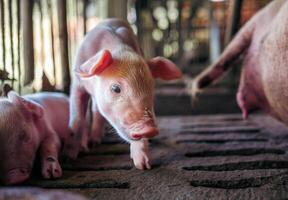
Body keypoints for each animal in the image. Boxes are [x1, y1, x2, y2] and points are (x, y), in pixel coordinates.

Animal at [66, 18, 182, 169]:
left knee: (96, 110)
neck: (121, 50)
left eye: (151, 87)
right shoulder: (77, 83)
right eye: (116, 88)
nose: (149, 129)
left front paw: (144, 166)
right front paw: (71, 157)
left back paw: (95, 141)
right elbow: (78, 118)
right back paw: (90, 144)